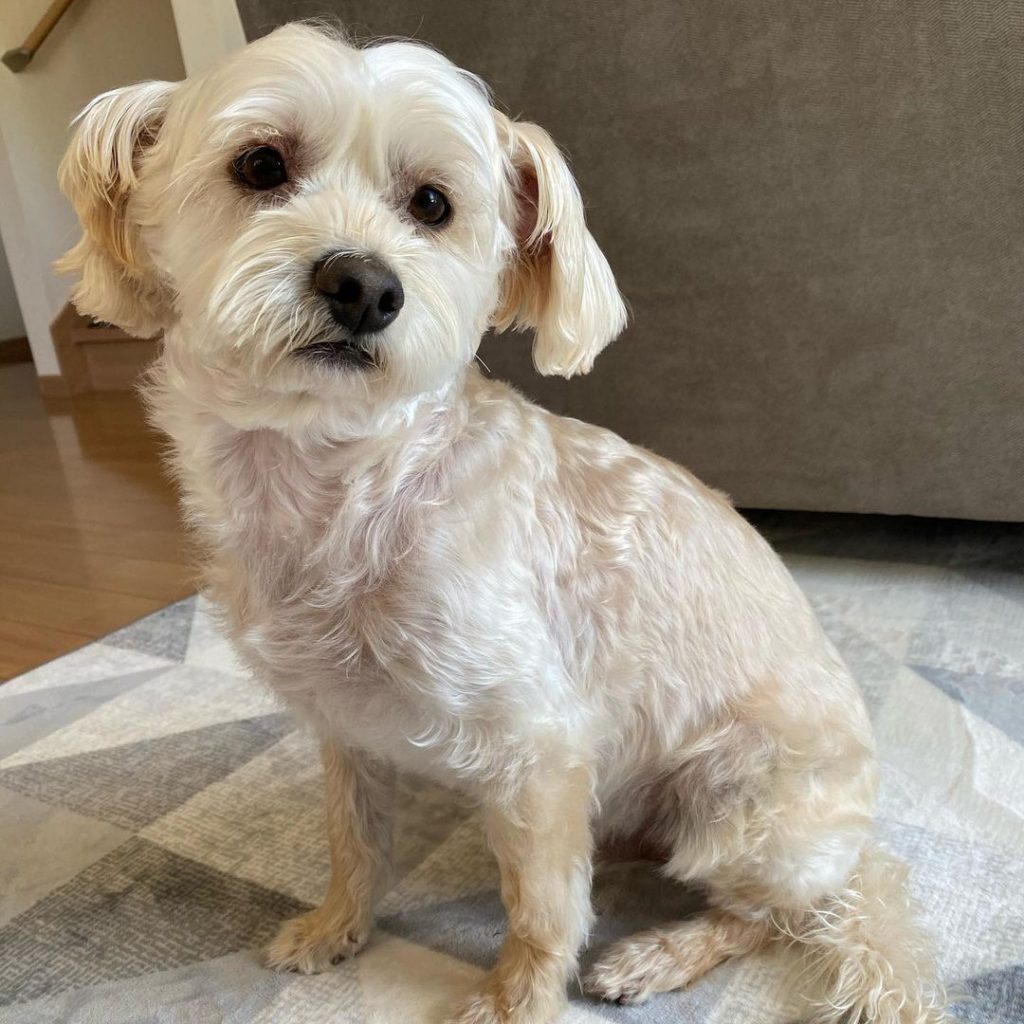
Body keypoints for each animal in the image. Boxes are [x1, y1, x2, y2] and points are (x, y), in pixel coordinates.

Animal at [56, 24, 942, 1024]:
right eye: (260, 165)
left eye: (432, 205)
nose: (364, 286)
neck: (349, 480)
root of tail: (855, 843)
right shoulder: (345, 731)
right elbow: (354, 844)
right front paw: (334, 928)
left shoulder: (538, 746)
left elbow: (545, 905)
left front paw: (516, 999)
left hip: (741, 804)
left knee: (773, 915)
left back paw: (660, 954)